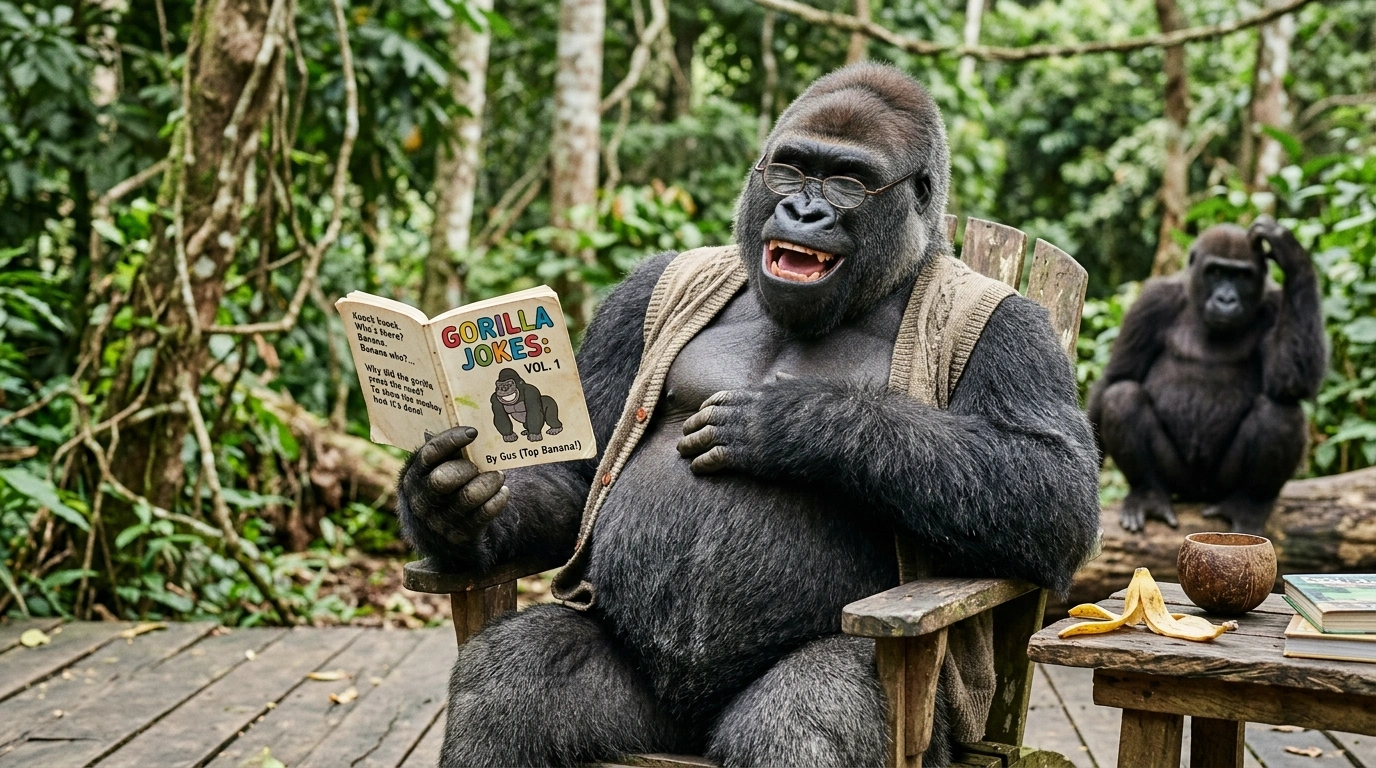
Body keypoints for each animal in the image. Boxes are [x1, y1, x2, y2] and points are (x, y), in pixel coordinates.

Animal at [397, 63, 1100, 768]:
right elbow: (581, 475)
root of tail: (687, 734)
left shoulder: (1016, 327)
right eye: (791, 169)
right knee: (511, 675)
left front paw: (798, 423)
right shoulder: (640, 292)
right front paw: (447, 503)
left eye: (845, 180)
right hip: (646, 725)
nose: (805, 210)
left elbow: (1054, 493)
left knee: (814, 708)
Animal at [1088, 217, 1326, 534]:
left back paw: (1249, 504)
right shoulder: (1152, 301)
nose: (1226, 299)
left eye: (1242, 276)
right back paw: (1147, 494)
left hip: (1219, 486)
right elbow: (1116, 377)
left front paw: (1291, 253)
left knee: (1280, 410)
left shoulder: (1277, 303)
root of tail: (1197, 493)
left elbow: (1290, 381)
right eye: (1215, 272)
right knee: (1122, 396)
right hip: (1178, 480)